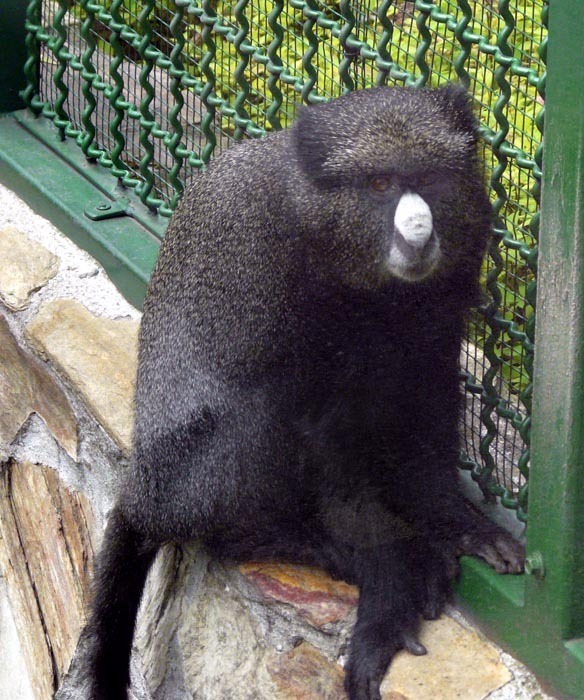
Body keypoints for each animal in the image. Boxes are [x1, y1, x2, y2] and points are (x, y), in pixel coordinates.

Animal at [72, 83, 524, 700]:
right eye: (379, 184)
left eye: (428, 178)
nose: (418, 228)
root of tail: (144, 490)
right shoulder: (275, 267)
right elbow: (323, 433)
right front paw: (388, 577)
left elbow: (425, 393)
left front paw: (453, 520)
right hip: (191, 478)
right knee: (257, 423)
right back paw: (301, 544)